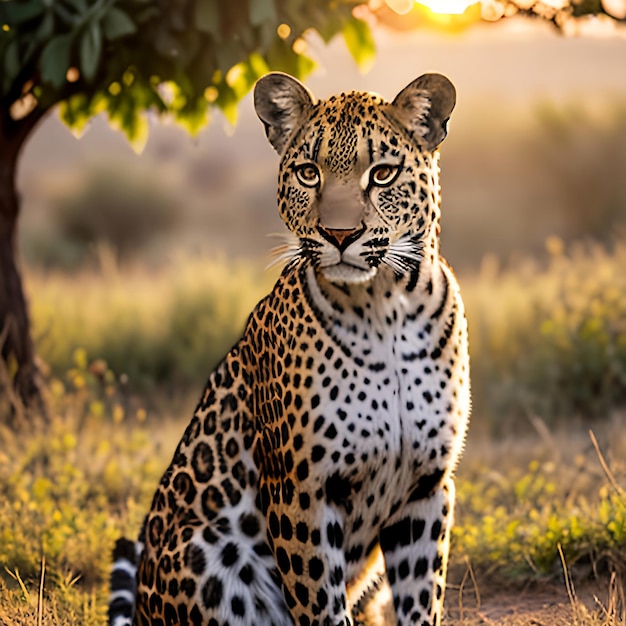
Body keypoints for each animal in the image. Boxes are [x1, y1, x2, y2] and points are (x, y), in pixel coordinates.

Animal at [108, 70, 468, 624]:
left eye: (382, 174)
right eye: (308, 173)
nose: (340, 234)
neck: (386, 308)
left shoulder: (427, 487)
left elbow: (422, 602)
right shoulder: (301, 490)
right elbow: (323, 606)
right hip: (202, 549)